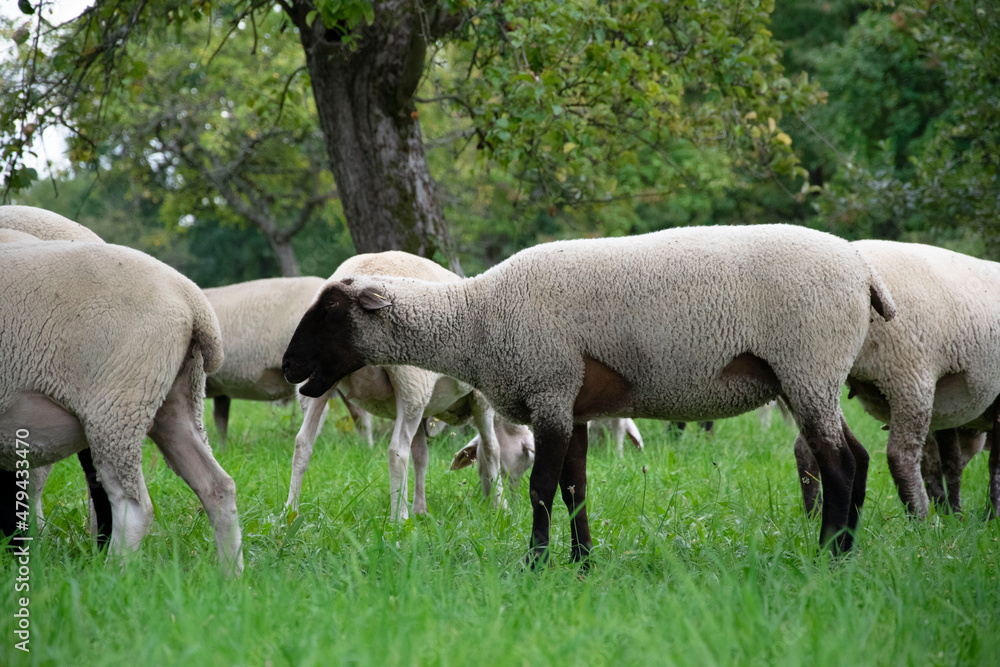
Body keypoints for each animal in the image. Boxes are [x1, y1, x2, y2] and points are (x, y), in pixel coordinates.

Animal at [0, 241, 243, 573]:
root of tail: (191, 300)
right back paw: (232, 575)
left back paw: (112, 575)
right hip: (175, 400)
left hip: (116, 407)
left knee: (133, 508)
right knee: (217, 487)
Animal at [285, 251, 512, 521]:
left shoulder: (410, 387)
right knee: (421, 454)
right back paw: (418, 510)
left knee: (487, 449)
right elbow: (303, 444)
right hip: (415, 397)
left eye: (331, 304)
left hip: (465, 398)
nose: (288, 365)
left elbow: (400, 453)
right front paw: (288, 515)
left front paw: (399, 518)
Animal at [794, 240, 1000, 519]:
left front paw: (953, 511)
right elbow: (990, 464)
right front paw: (989, 515)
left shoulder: (948, 410)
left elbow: (947, 463)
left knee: (808, 448)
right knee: (901, 455)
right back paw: (921, 517)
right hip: (908, 372)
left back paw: (814, 515)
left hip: (820, 372)